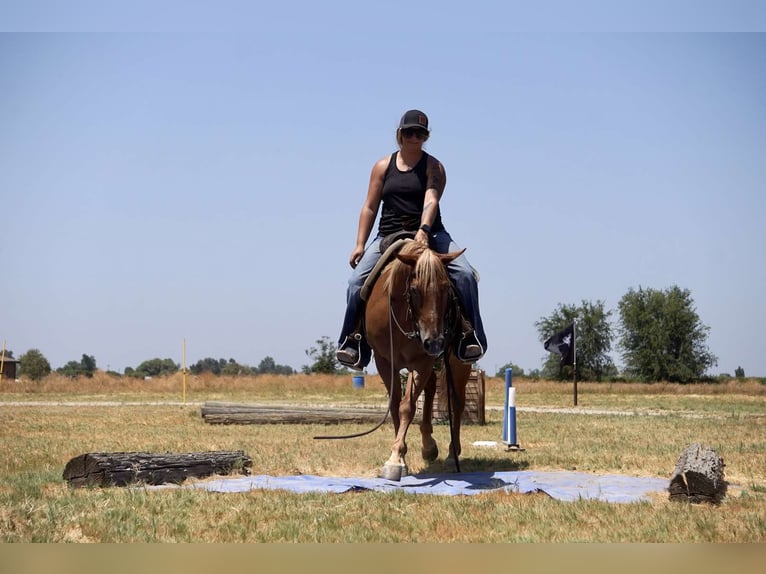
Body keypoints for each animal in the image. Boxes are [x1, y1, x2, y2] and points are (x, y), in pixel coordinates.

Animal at [365, 240, 473, 481]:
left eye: (446, 288)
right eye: (414, 290)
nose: (434, 342)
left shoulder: (421, 361)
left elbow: (407, 406)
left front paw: (395, 458)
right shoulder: (385, 362)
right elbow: (395, 405)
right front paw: (400, 455)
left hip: (458, 363)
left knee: (457, 402)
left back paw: (452, 454)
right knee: (432, 388)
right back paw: (429, 447)